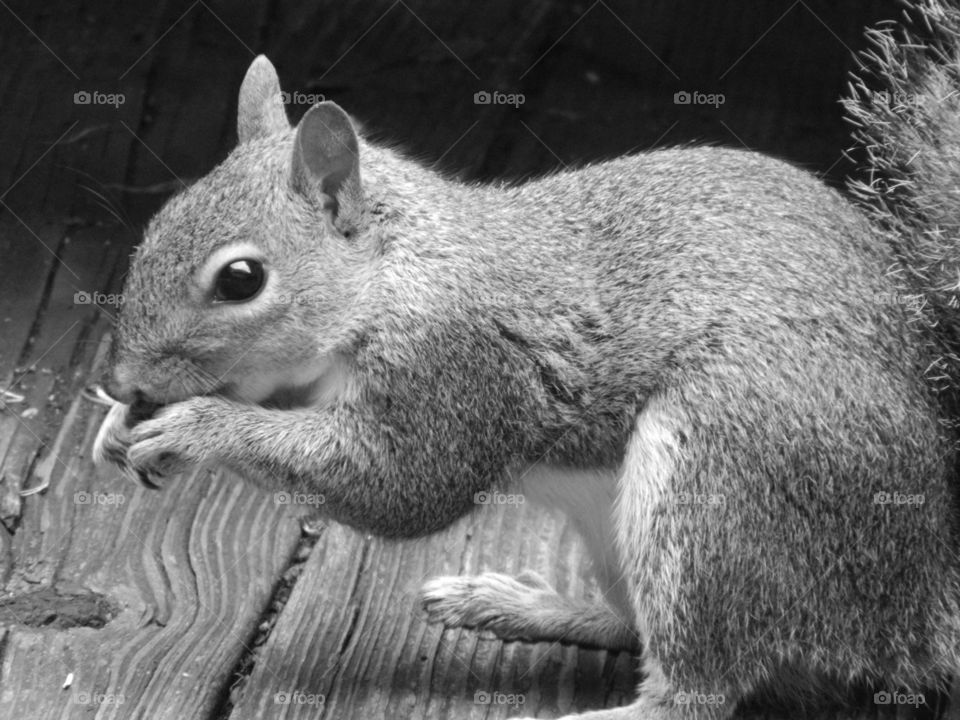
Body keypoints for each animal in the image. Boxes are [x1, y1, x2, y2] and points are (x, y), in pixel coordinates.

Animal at [92, 0, 960, 717]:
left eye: (241, 279)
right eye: (159, 220)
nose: (126, 381)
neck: (390, 274)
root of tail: (924, 591)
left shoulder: (454, 367)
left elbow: (401, 486)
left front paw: (196, 427)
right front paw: (114, 429)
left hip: (722, 481)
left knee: (696, 694)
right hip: (623, 530)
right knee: (632, 629)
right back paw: (524, 606)